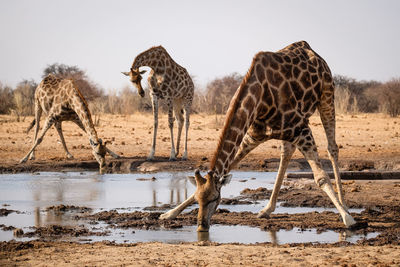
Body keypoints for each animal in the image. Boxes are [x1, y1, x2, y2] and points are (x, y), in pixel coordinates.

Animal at [161, 41, 358, 232]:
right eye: (198, 199)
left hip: (326, 96)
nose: (201, 226)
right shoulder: (254, 135)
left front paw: (348, 219)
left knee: (332, 148)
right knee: (286, 152)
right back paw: (267, 209)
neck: (259, 100)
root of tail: (312, 51)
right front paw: (169, 214)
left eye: (215, 199)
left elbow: (320, 177)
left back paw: (344, 205)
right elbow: (228, 166)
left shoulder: (302, 130)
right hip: (292, 129)